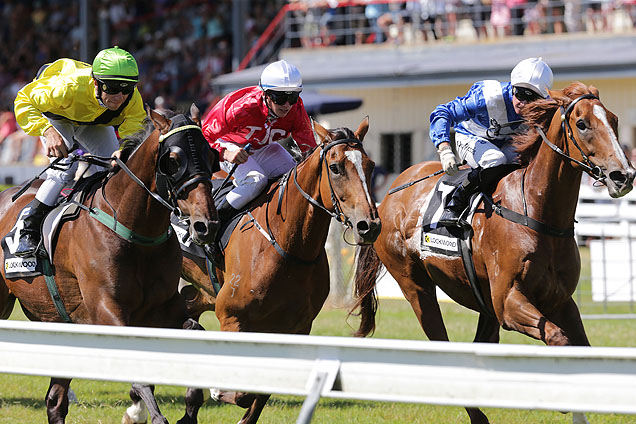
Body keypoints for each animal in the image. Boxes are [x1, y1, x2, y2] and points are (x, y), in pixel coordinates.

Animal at [0, 103, 219, 424]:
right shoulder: (106, 309)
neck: (135, 229)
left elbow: (195, 333)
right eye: (173, 160)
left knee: (55, 402)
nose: (206, 225)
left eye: (211, 156)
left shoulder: (164, 310)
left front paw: (190, 408)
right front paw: (142, 413)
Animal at [179, 117, 380, 424]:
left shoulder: (295, 328)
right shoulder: (231, 317)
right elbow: (241, 390)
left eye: (369, 166)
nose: (369, 225)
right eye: (335, 167)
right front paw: (216, 389)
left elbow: (259, 392)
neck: (288, 245)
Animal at [352, 81, 636, 422]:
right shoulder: (509, 303)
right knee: (443, 346)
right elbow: (558, 338)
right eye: (582, 124)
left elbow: (582, 350)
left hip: (481, 300)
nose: (623, 176)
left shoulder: (560, 301)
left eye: (614, 120)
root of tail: (388, 197)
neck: (536, 211)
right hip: (416, 287)